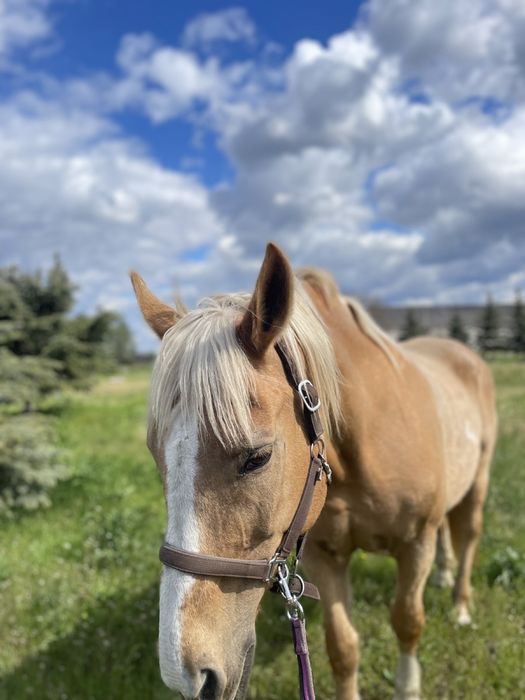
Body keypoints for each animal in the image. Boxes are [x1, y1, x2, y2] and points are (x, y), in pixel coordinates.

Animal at [131, 243, 497, 700]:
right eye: (155, 455)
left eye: (258, 457)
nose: (186, 676)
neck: (369, 440)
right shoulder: (326, 555)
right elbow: (342, 647)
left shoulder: (416, 544)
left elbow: (407, 622)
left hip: (478, 483)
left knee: (469, 535)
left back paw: (461, 604)